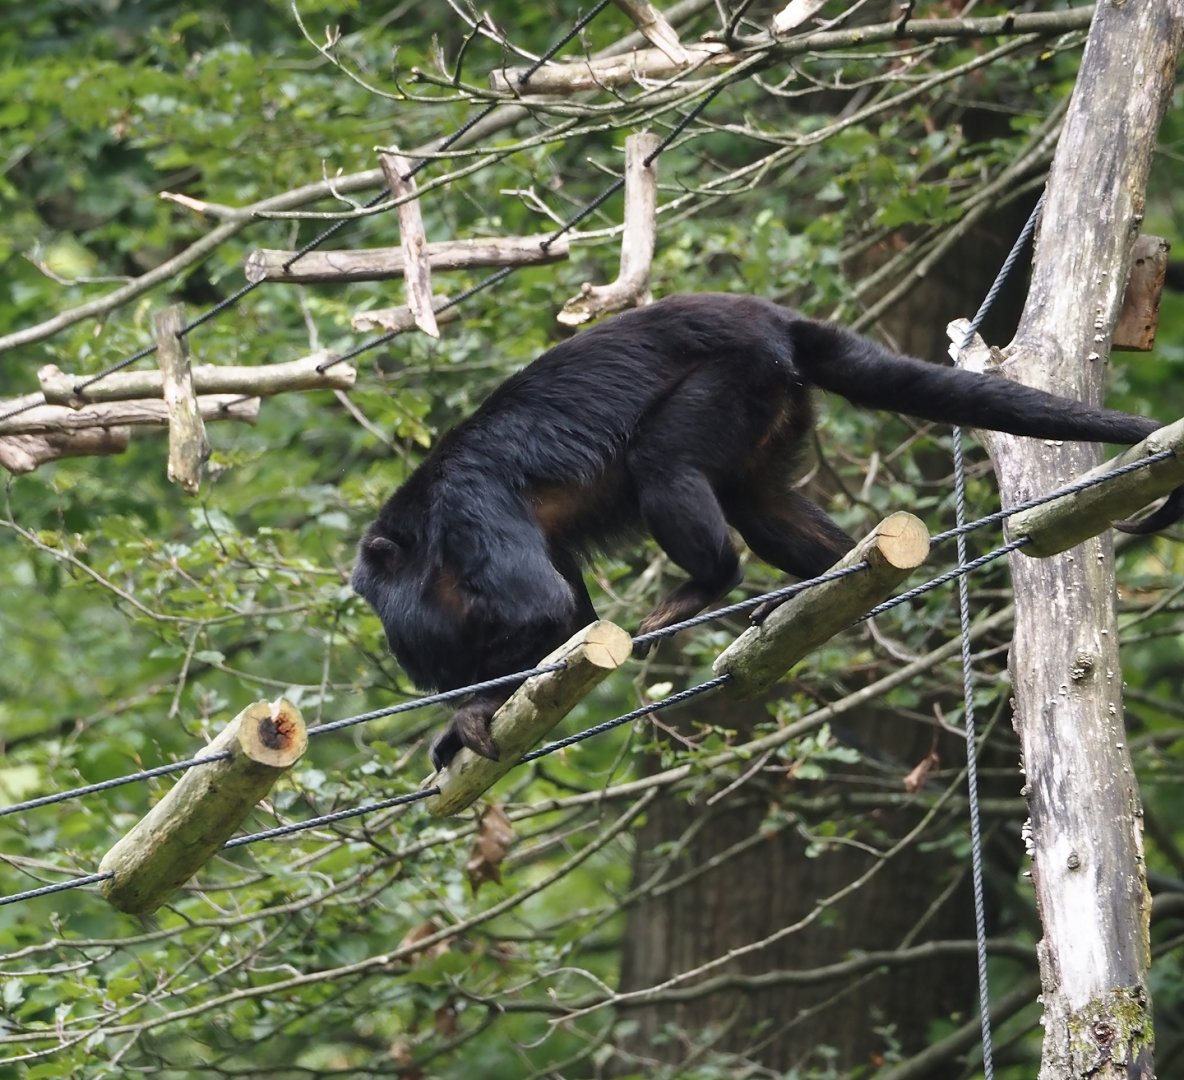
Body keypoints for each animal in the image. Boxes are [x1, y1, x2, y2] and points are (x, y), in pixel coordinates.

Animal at [352, 293, 1180, 770]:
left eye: (374, 596)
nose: (390, 629)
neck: (426, 528)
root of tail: (770, 318)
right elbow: (575, 615)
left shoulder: (470, 503)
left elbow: (544, 611)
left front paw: (469, 715)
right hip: (771, 399)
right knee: (754, 497)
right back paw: (826, 577)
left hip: (733, 374)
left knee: (663, 462)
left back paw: (710, 584)